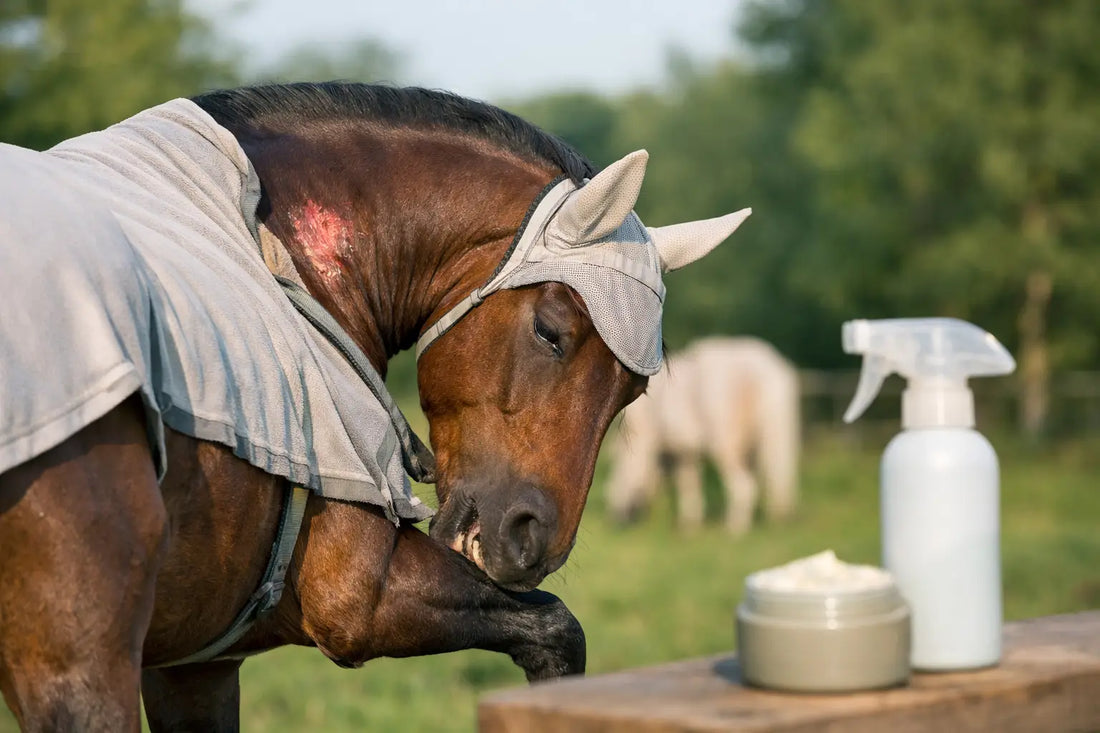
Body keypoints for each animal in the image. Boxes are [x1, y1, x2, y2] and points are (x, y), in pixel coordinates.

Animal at [0, 82, 752, 731]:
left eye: (635, 391)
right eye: (550, 332)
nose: (530, 542)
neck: (273, 247)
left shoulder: (194, 665)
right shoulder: (358, 600)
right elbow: (557, 631)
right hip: (78, 668)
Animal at [606, 336, 800, 534]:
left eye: (614, 484)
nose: (618, 520)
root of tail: (767, 370)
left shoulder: (651, 442)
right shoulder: (685, 453)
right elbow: (688, 483)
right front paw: (690, 524)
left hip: (727, 445)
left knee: (745, 486)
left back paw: (734, 528)